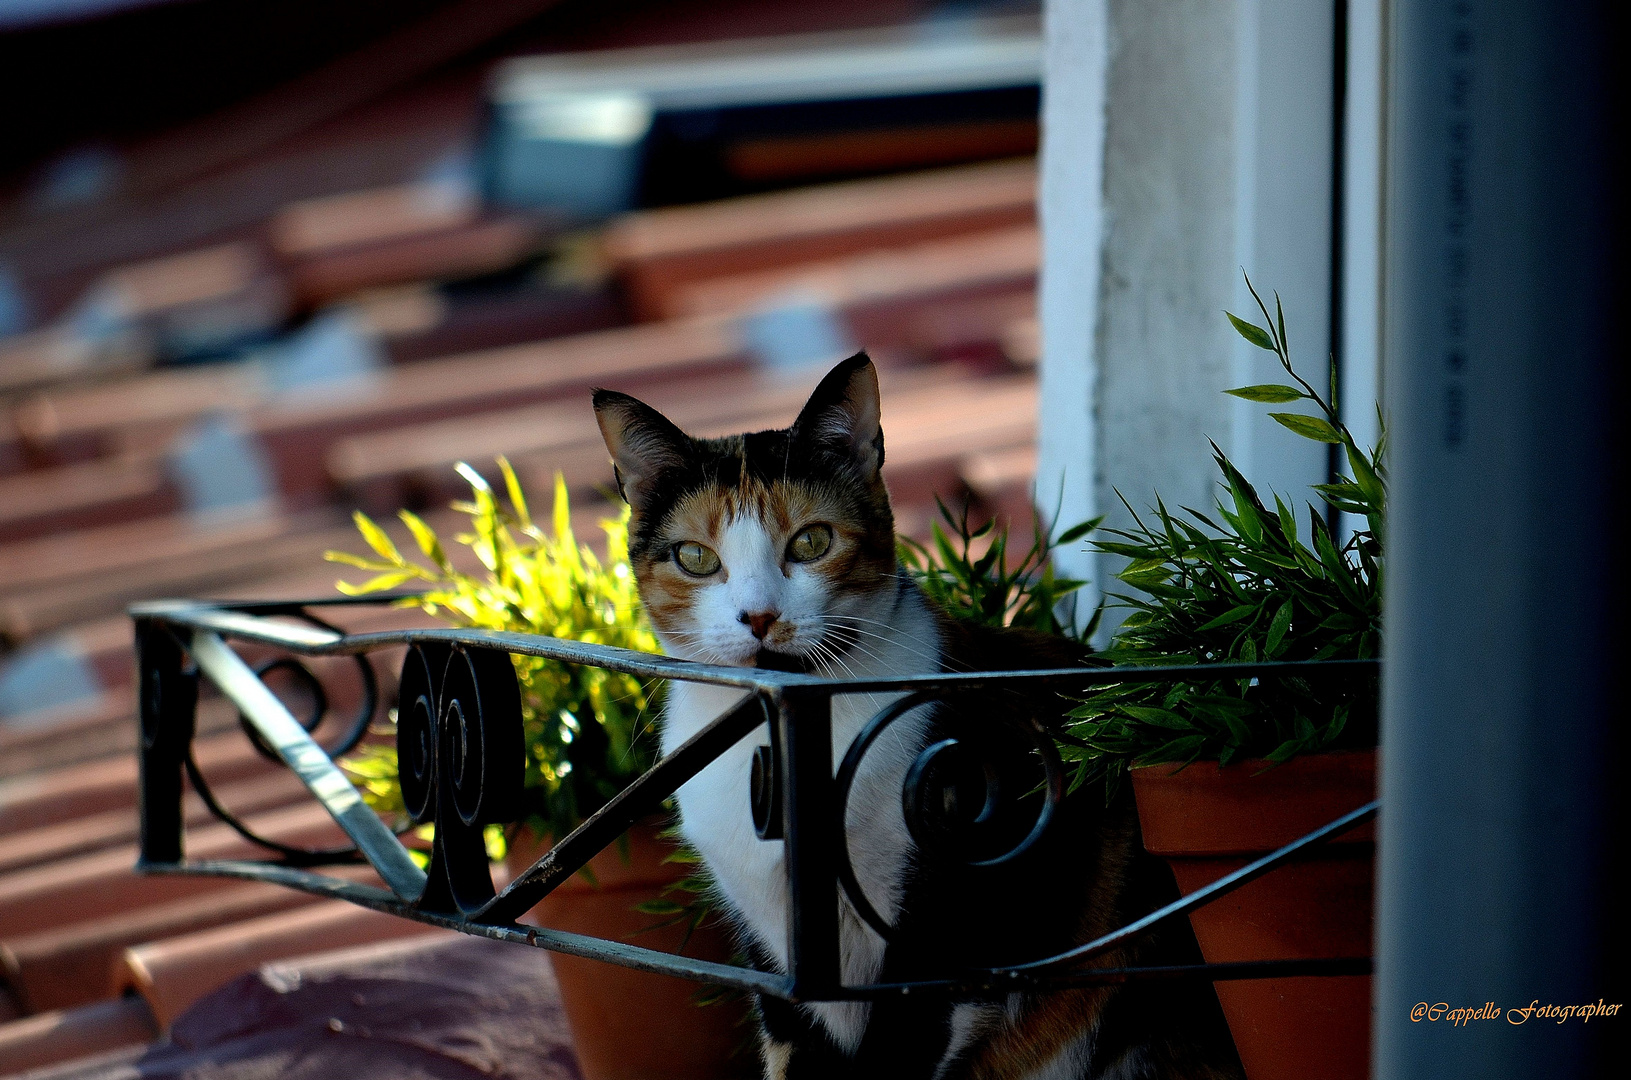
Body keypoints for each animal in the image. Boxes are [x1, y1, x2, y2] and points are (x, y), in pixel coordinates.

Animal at [590, 357, 1233, 1080]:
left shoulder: (939, 925)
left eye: (812, 541)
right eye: (695, 557)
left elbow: (897, 1051)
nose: (758, 617)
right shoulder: (776, 966)